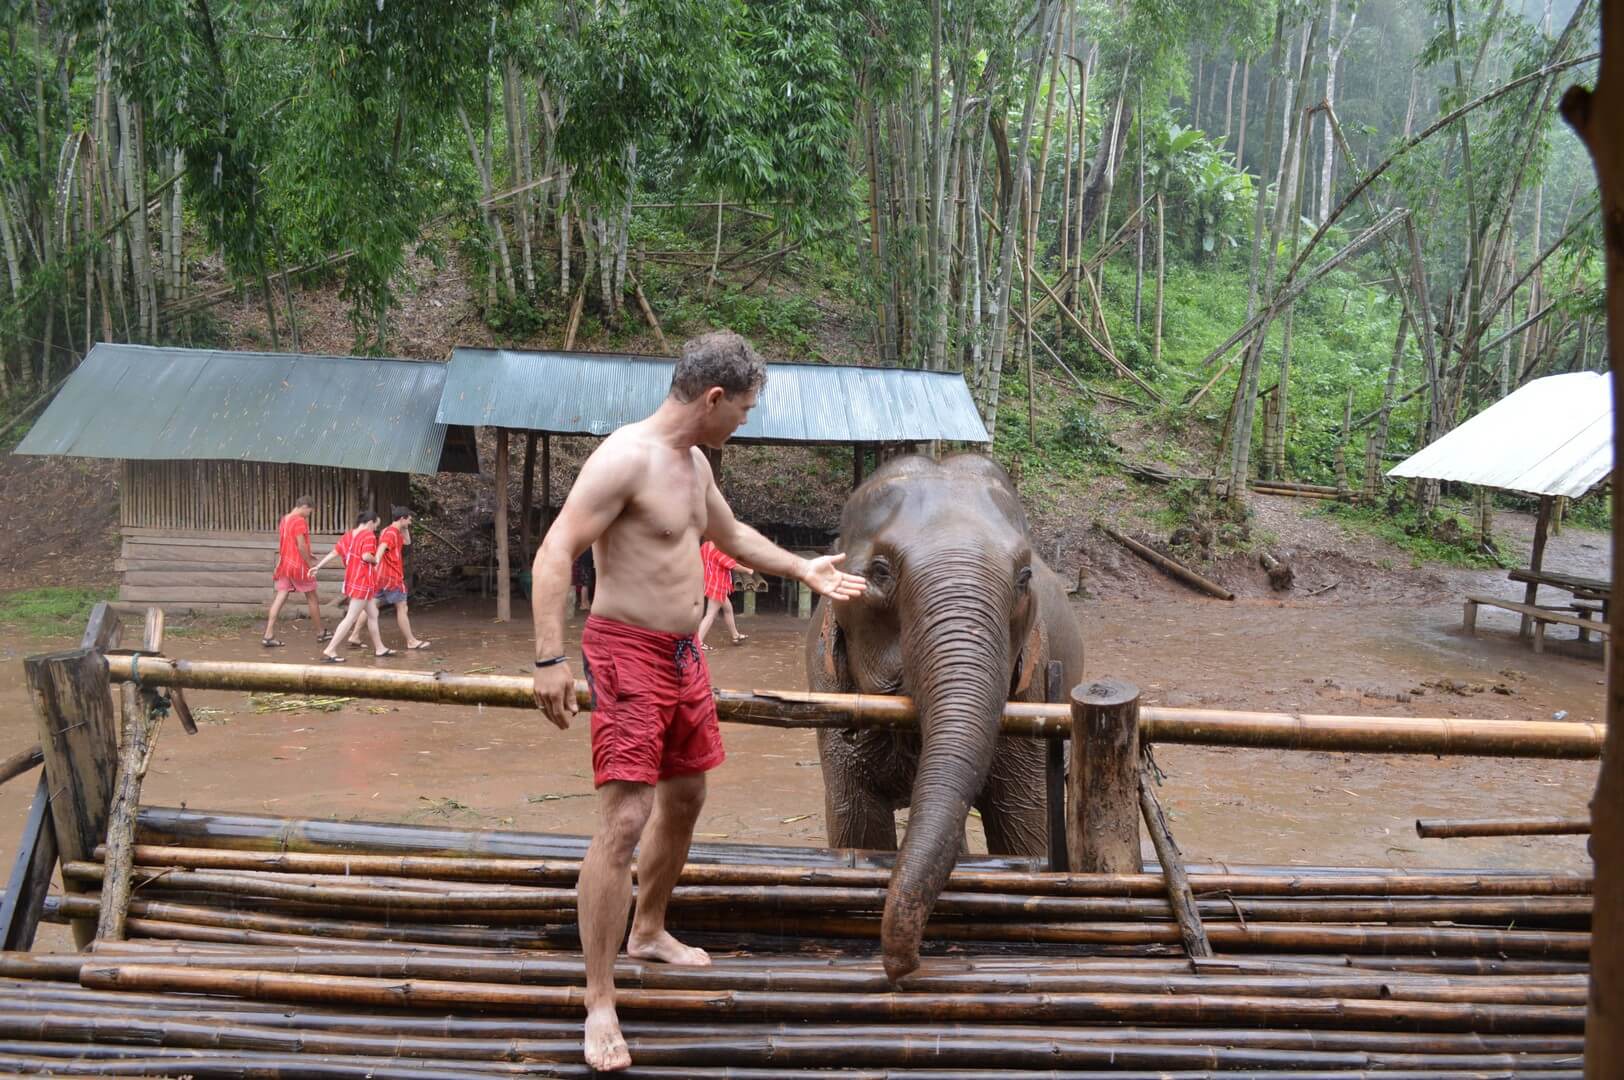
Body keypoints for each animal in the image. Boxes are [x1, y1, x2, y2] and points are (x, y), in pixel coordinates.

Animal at [805, 452, 1085, 982]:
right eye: (879, 572)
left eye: (1023, 578)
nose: (909, 966)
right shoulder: (827, 688)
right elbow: (858, 825)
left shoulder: (1032, 688)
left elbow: (1023, 826)